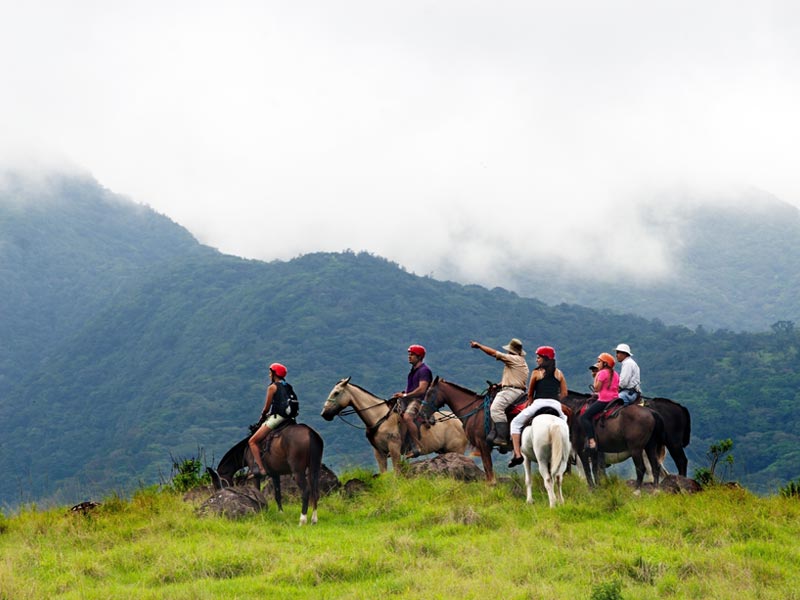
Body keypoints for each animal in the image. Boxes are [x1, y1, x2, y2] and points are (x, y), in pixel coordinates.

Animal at [320, 376, 468, 474]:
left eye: (336, 393)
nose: (324, 414)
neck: (379, 417)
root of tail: (459, 421)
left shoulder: (394, 448)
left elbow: (396, 472)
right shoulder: (379, 452)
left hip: (457, 449)